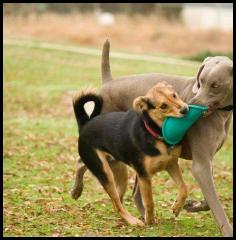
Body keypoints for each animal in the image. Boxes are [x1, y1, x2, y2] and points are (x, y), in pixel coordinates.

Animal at [73, 82, 189, 225]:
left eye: (174, 95)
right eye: (163, 106)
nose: (185, 109)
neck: (154, 132)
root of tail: (85, 125)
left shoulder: (171, 165)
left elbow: (184, 188)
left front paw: (177, 207)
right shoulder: (144, 176)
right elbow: (149, 202)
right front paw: (150, 221)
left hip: (120, 171)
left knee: (116, 201)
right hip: (104, 172)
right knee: (117, 204)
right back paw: (133, 221)